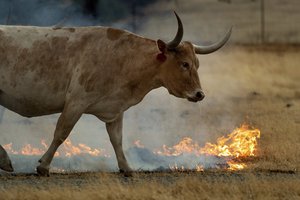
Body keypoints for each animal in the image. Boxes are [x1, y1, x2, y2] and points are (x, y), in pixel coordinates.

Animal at [0, 11, 232, 176]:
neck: (123, 58)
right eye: (184, 64)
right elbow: (61, 133)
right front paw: (43, 166)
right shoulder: (76, 102)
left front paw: (126, 167)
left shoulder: (115, 110)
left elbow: (117, 139)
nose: (200, 94)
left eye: (197, 64)